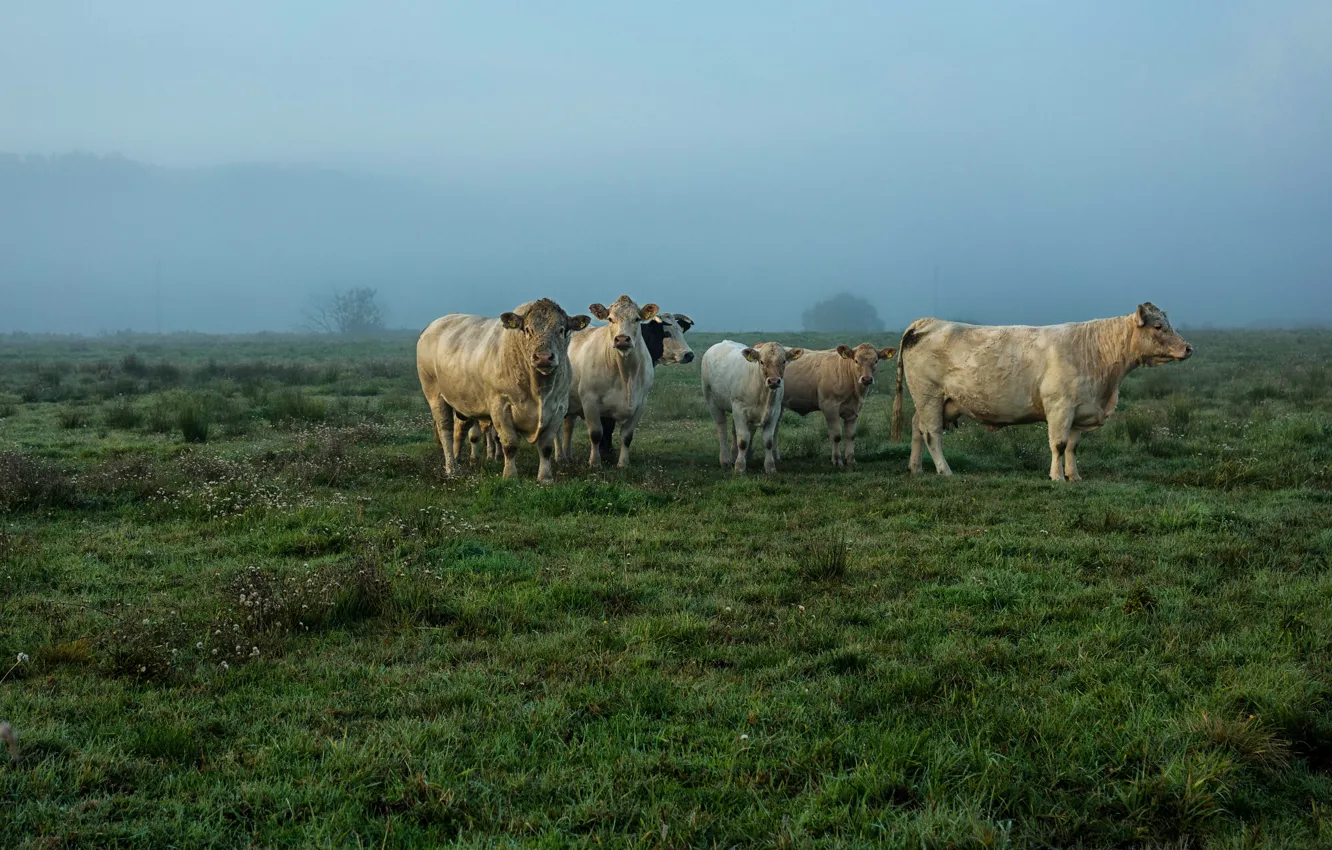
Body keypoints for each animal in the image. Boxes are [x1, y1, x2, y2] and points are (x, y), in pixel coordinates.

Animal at [556, 291, 660, 466]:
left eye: (637, 319)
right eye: (610, 319)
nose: (622, 339)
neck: (626, 375)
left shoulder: (640, 404)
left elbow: (627, 436)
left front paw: (623, 463)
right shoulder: (589, 401)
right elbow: (596, 433)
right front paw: (595, 462)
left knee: (568, 426)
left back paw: (567, 455)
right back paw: (559, 456)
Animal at [703, 338, 804, 474]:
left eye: (783, 361)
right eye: (761, 361)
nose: (773, 381)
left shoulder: (774, 412)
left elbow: (768, 440)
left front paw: (770, 467)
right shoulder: (740, 410)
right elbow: (743, 440)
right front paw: (740, 467)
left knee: (734, 431)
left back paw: (734, 456)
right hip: (711, 400)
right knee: (721, 427)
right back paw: (725, 460)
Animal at [889, 305, 1193, 479]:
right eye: (1158, 326)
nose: (1188, 348)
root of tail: (926, 322)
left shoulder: (1080, 409)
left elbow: (1072, 446)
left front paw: (1074, 476)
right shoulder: (1060, 407)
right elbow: (1058, 444)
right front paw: (1056, 478)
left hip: (935, 402)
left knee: (917, 428)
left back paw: (915, 468)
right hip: (929, 396)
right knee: (931, 434)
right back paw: (945, 470)